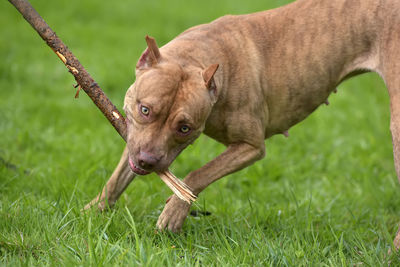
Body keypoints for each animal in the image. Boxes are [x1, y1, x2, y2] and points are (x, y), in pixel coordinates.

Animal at [85, 0, 400, 248]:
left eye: (184, 128)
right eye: (145, 110)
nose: (148, 161)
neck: (198, 59)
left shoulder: (250, 146)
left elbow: (198, 174)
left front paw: (175, 210)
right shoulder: (134, 138)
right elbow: (118, 178)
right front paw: (93, 211)